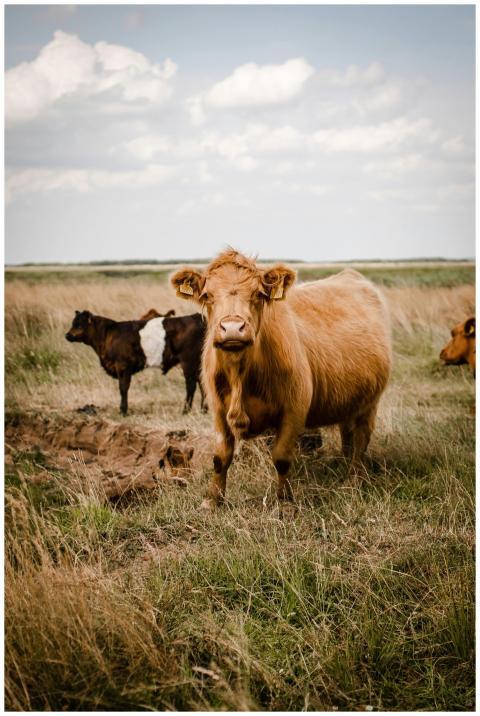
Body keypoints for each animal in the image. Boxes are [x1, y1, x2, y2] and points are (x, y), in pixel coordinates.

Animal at [171, 249, 392, 509]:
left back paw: (354, 479)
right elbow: (220, 456)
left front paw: (285, 502)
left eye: (258, 293)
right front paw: (212, 500)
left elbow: (282, 458)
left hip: (371, 401)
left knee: (361, 437)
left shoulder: (294, 408)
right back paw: (343, 464)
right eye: (207, 295)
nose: (233, 328)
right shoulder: (217, 409)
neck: (240, 375)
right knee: (347, 431)